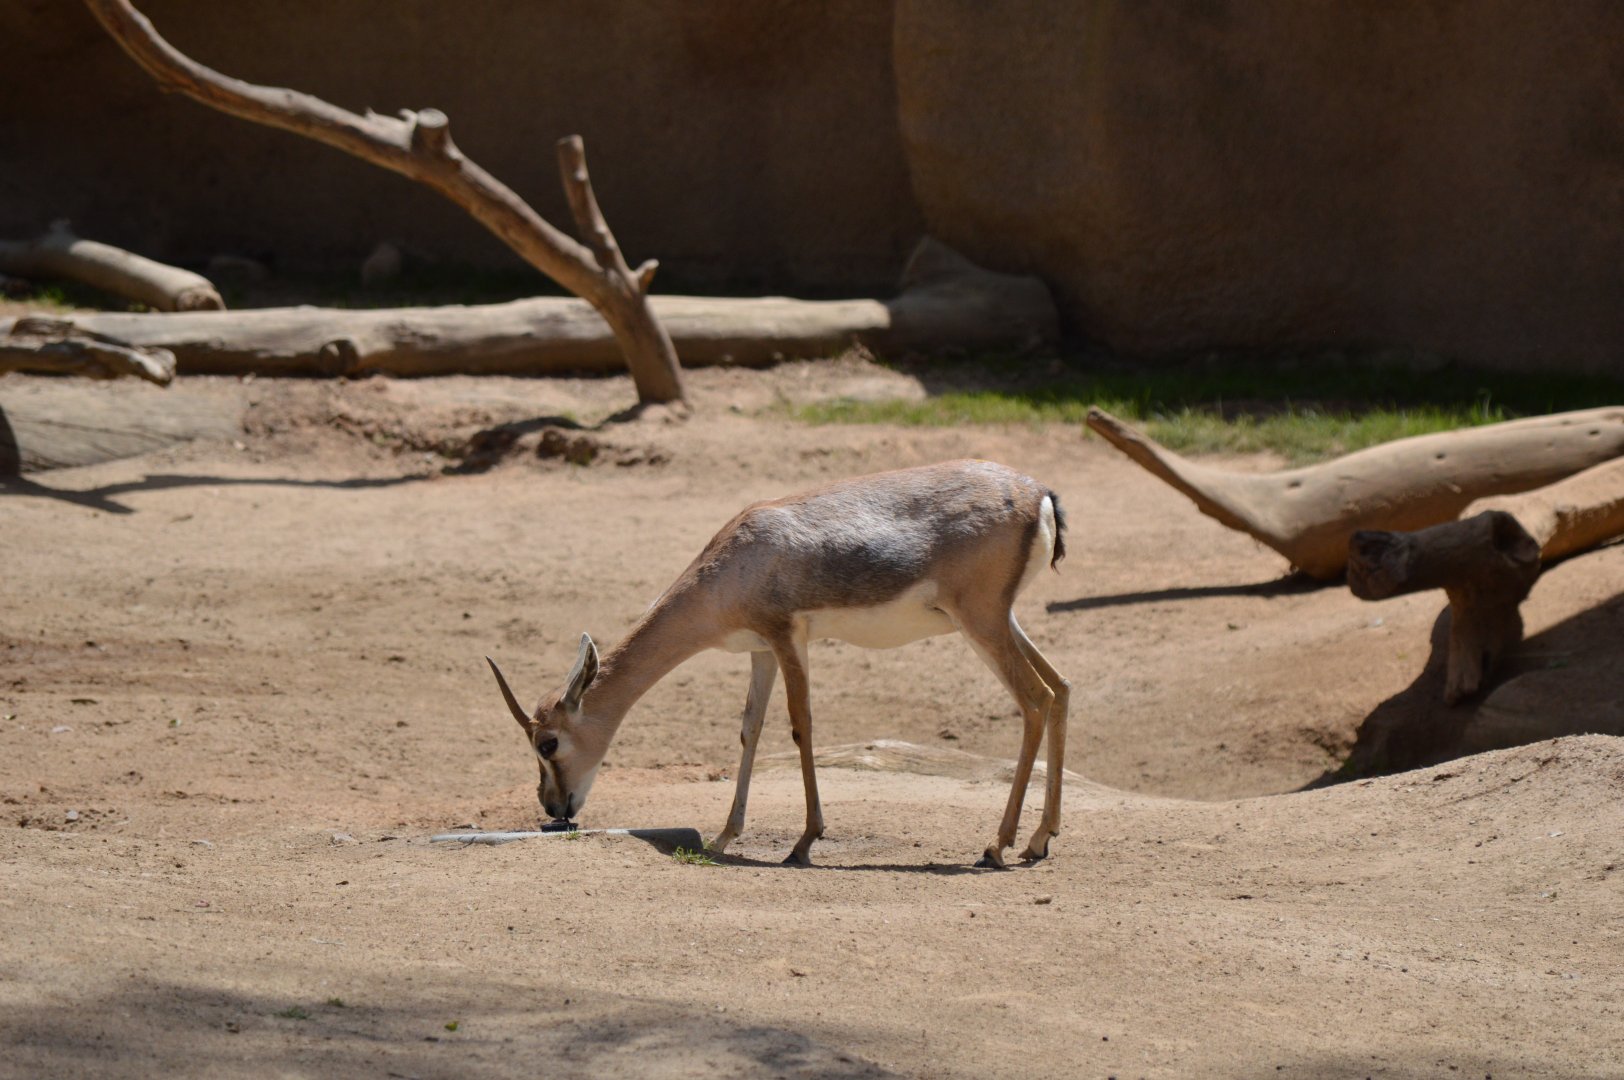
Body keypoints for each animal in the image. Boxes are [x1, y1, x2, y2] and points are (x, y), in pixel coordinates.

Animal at [486, 459, 1070, 868]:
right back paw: (1039, 840)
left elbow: (800, 726)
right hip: (1000, 620)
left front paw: (804, 841)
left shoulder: (786, 636)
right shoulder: (761, 650)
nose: (552, 807)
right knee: (1061, 687)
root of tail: (1039, 493)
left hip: (982, 624)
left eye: (548, 743)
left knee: (1035, 699)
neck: (738, 560)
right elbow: (751, 728)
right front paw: (724, 836)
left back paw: (997, 846)